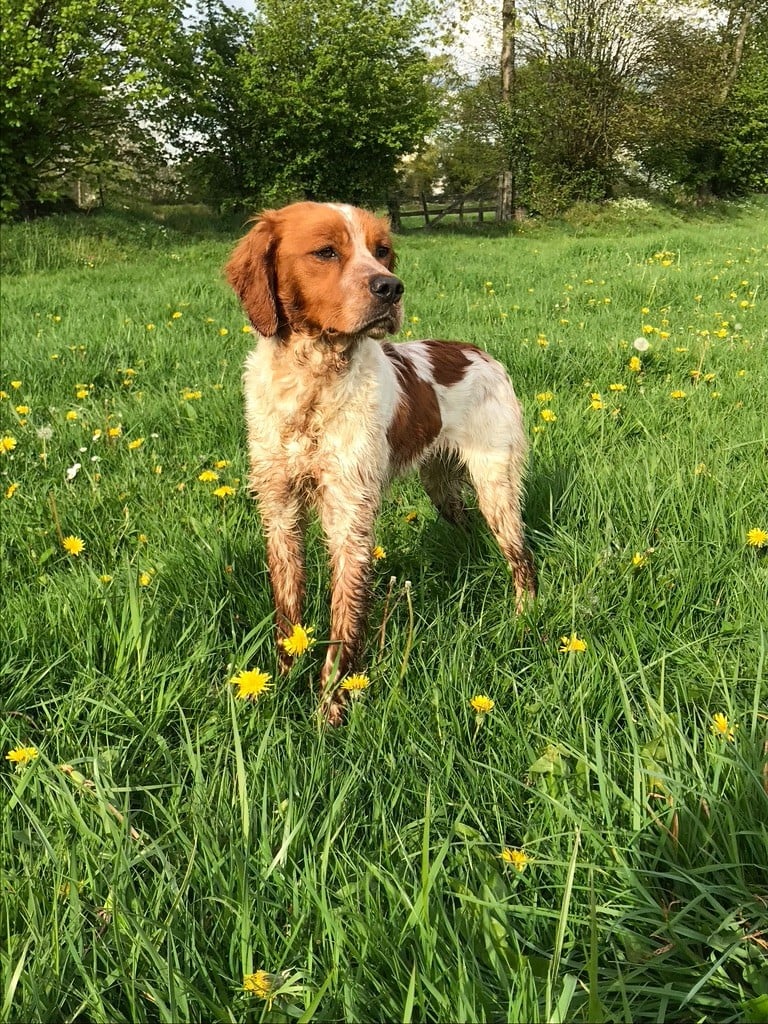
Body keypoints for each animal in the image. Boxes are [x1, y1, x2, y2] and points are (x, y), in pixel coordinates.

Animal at [224, 203, 536, 724]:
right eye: (325, 252)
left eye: (382, 250)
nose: (390, 287)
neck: (313, 384)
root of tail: (478, 352)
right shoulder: (279, 507)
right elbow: (288, 610)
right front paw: (280, 686)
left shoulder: (349, 513)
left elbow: (345, 621)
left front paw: (331, 711)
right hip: (441, 485)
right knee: (466, 525)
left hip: (497, 485)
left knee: (522, 557)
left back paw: (524, 617)